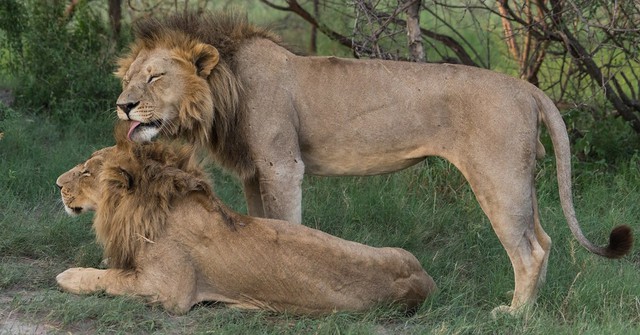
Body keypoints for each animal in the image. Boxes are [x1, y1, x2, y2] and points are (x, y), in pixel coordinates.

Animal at [55, 138, 438, 316]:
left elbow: (108, 280)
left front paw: (70, 275)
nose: (57, 184)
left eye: (86, 171)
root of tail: (425, 283)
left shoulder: (169, 290)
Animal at [112, 11, 632, 316]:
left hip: (497, 178)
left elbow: (286, 224)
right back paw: (528, 307)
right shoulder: (255, 174)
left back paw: (515, 315)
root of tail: (526, 87)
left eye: (155, 77)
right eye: (128, 77)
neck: (226, 90)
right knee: (542, 239)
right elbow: (263, 225)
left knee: (529, 251)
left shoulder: (283, 165)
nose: (122, 106)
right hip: (519, 180)